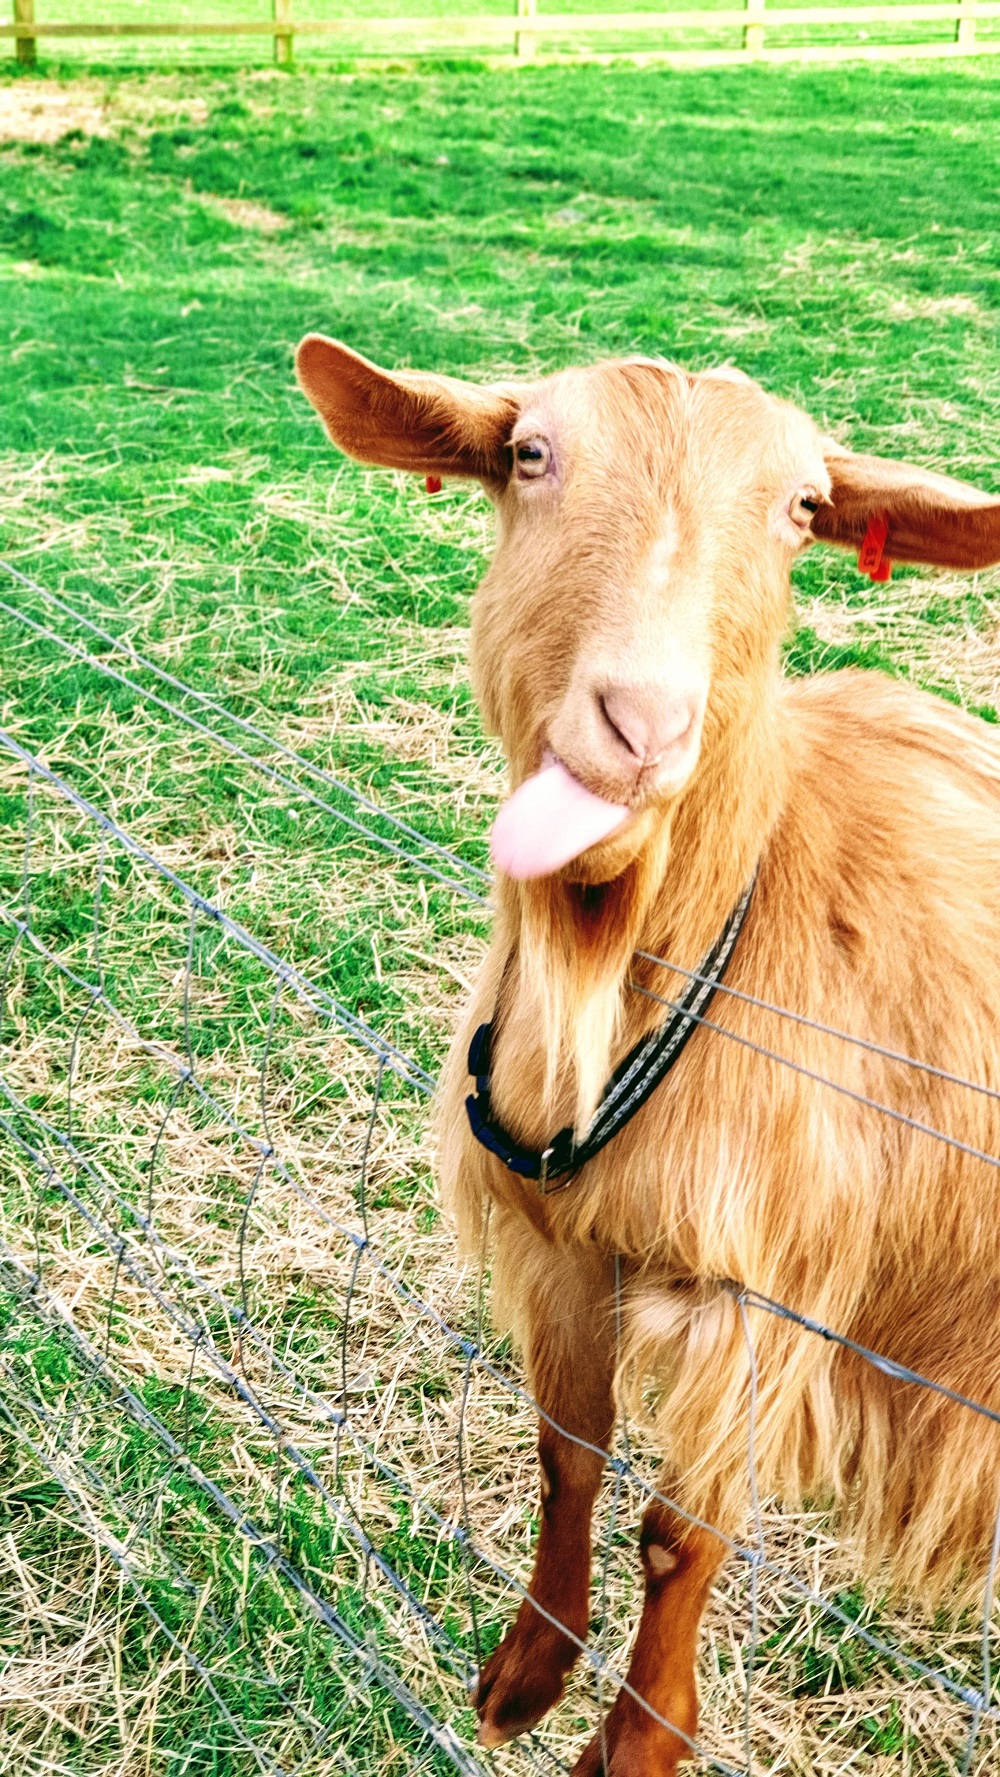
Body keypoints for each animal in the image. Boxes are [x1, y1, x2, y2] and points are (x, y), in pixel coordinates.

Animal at [297, 335, 1000, 1775]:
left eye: (802, 509)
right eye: (528, 455)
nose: (641, 722)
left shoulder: (769, 1293)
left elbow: (682, 1535)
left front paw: (637, 1741)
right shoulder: (560, 1239)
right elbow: (567, 1446)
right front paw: (524, 1675)